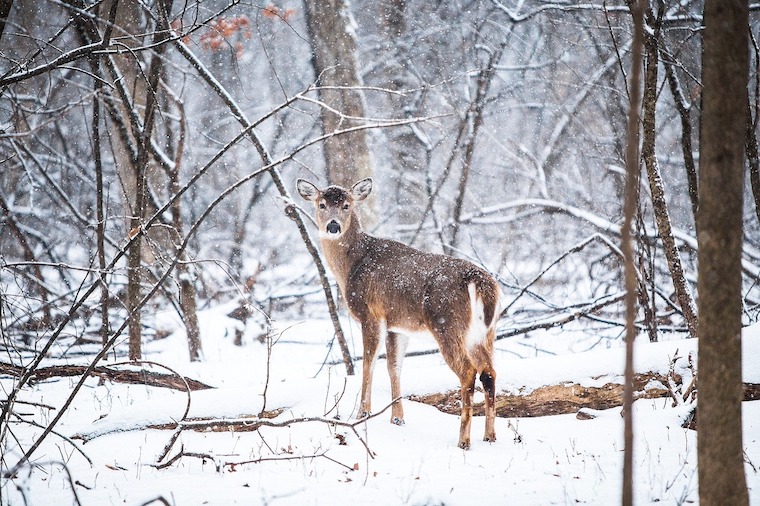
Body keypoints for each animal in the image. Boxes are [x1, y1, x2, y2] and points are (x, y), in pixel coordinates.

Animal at [297, 178, 500, 449]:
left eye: (346, 205)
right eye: (322, 204)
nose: (333, 226)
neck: (351, 265)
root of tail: (479, 281)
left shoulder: (370, 313)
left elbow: (368, 363)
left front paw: (363, 413)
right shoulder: (397, 325)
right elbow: (394, 366)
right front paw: (397, 418)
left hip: (447, 324)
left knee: (468, 372)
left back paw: (463, 440)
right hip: (485, 332)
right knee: (489, 372)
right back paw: (490, 436)